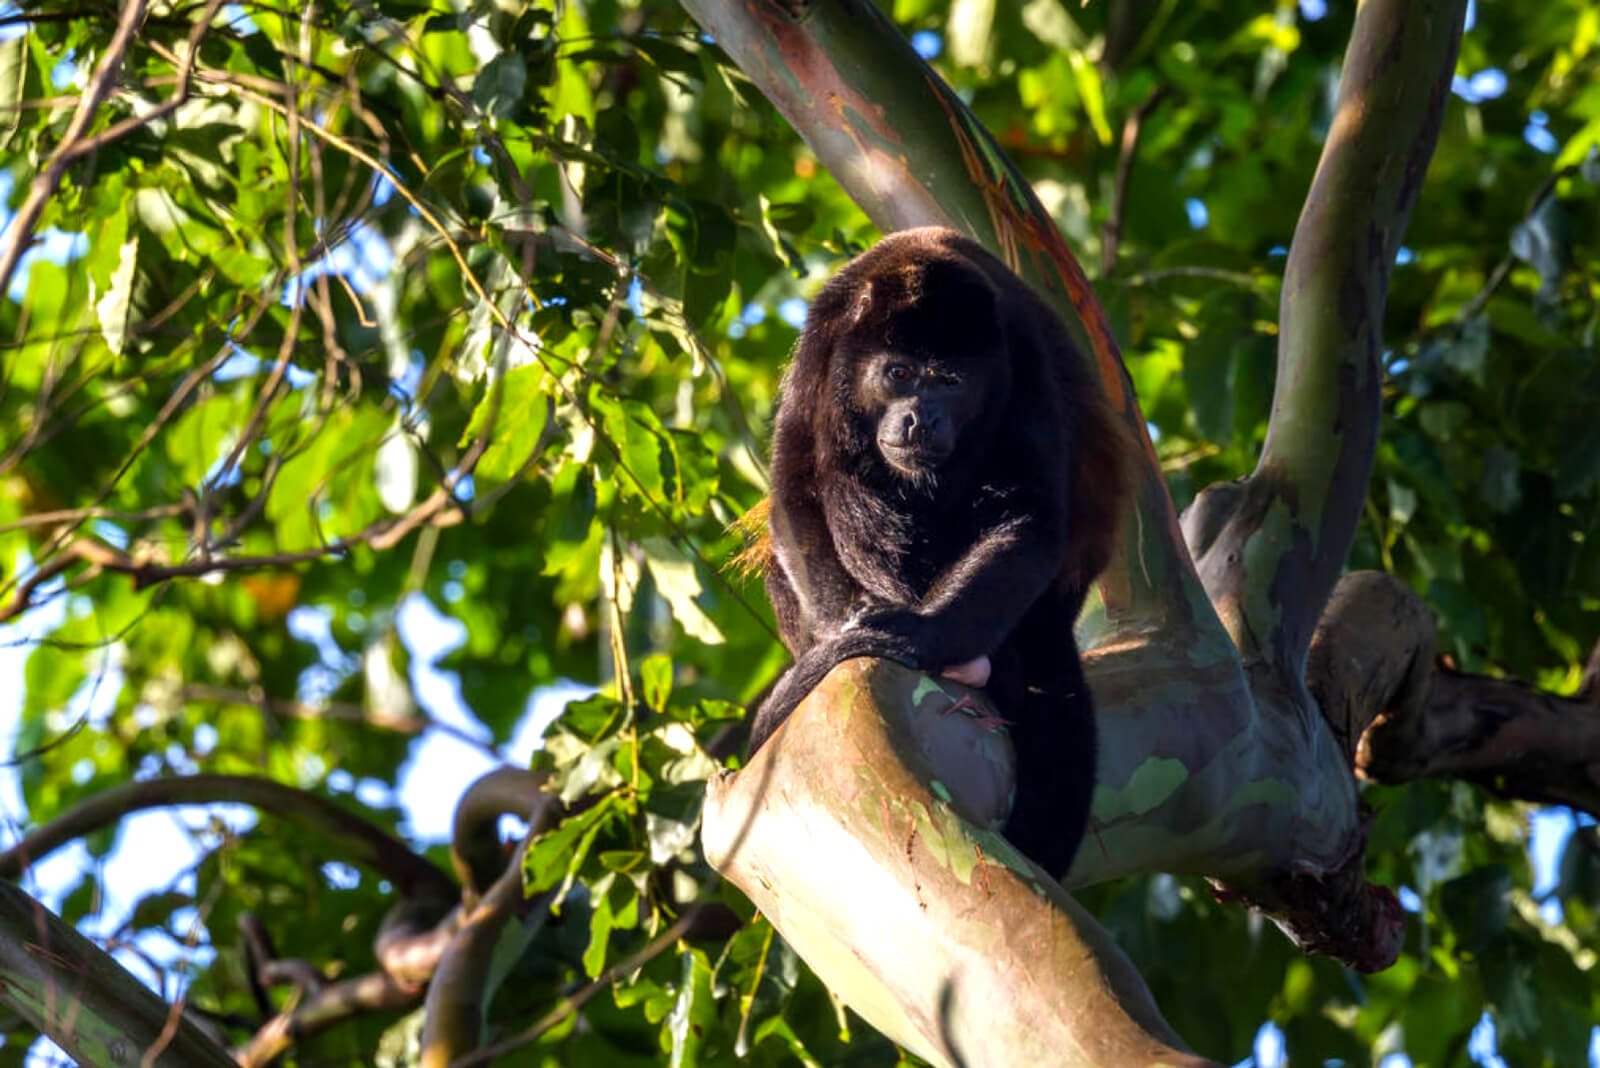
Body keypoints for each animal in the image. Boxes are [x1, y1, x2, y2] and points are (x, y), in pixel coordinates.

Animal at [743, 226, 1131, 876]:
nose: (918, 419)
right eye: (898, 372)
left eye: (950, 381)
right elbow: (797, 488)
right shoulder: (822, 343)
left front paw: (917, 635)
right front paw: (845, 627)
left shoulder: (1021, 356)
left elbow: (1027, 518)